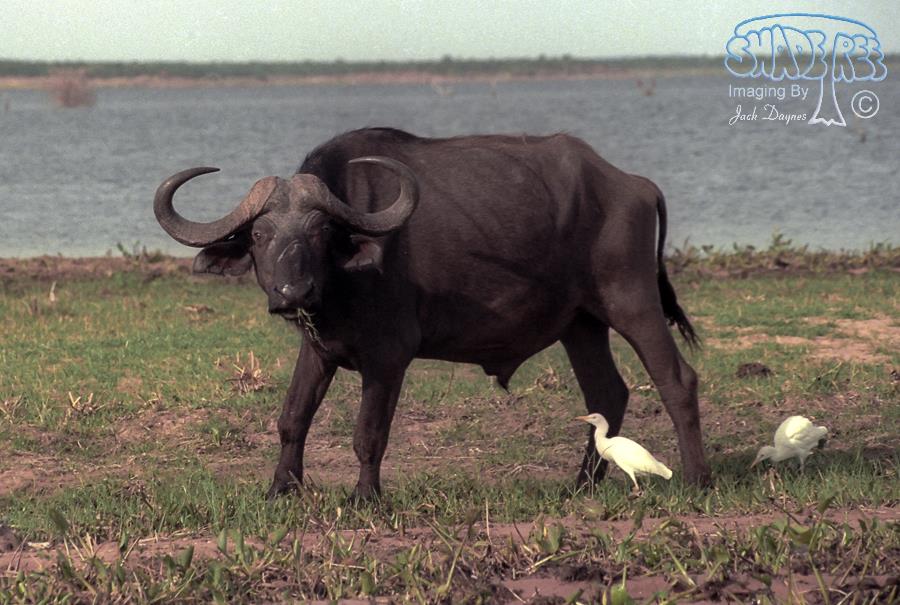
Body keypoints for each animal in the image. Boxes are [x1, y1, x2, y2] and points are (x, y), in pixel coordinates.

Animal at [154, 128, 711, 499]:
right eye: (259, 234)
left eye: (319, 231)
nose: (292, 291)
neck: (342, 276)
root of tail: (632, 184)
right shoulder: (318, 350)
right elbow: (292, 418)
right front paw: (280, 490)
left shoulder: (388, 358)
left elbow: (368, 433)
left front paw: (365, 497)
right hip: (581, 324)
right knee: (607, 393)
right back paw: (580, 485)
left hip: (631, 302)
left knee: (677, 379)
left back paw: (696, 480)